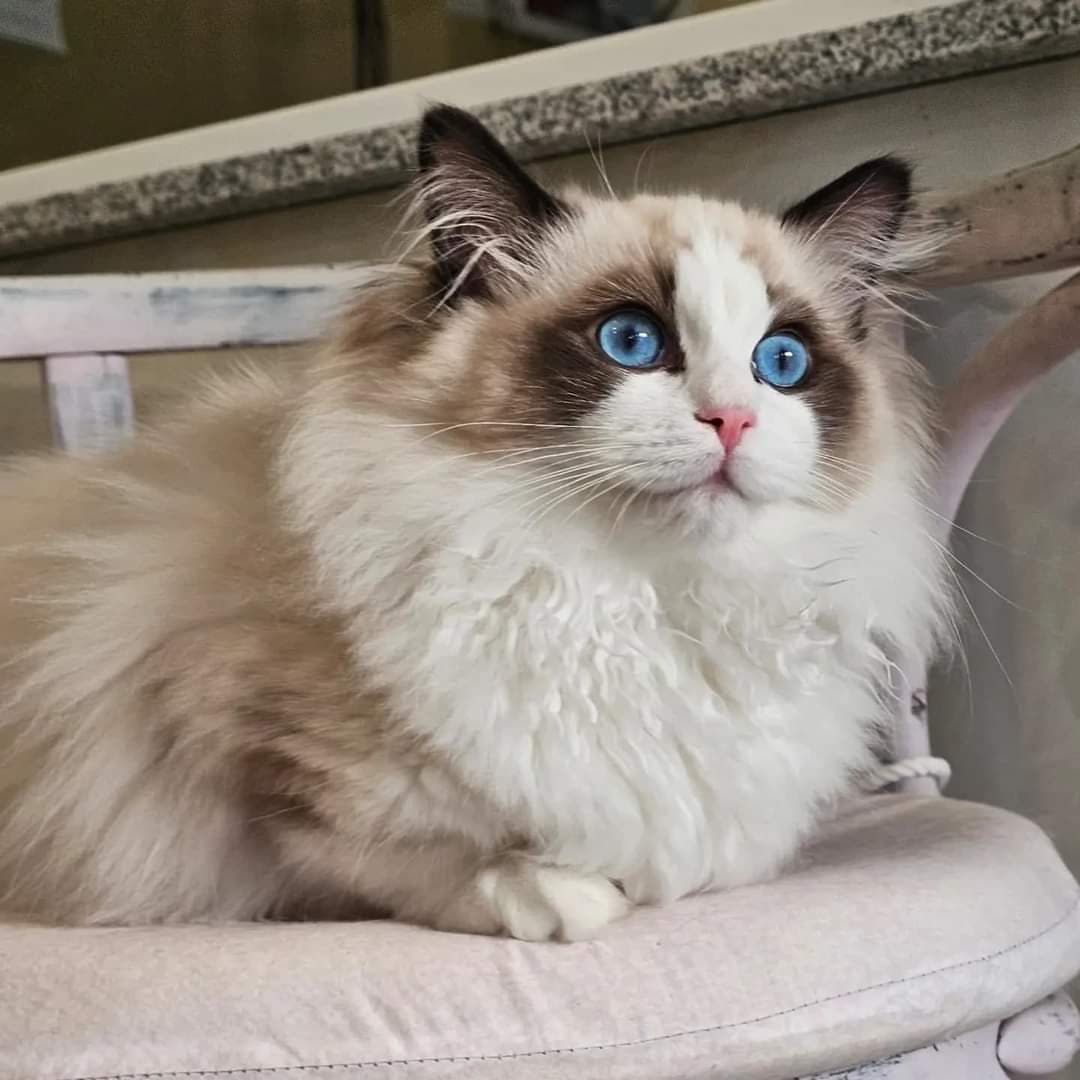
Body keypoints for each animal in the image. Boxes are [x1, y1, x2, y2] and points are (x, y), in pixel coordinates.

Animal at [0, 106, 948, 939]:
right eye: (631, 342)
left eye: (780, 362)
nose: (733, 420)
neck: (639, 598)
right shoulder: (212, 733)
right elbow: (387, 850)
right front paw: (555, 893)